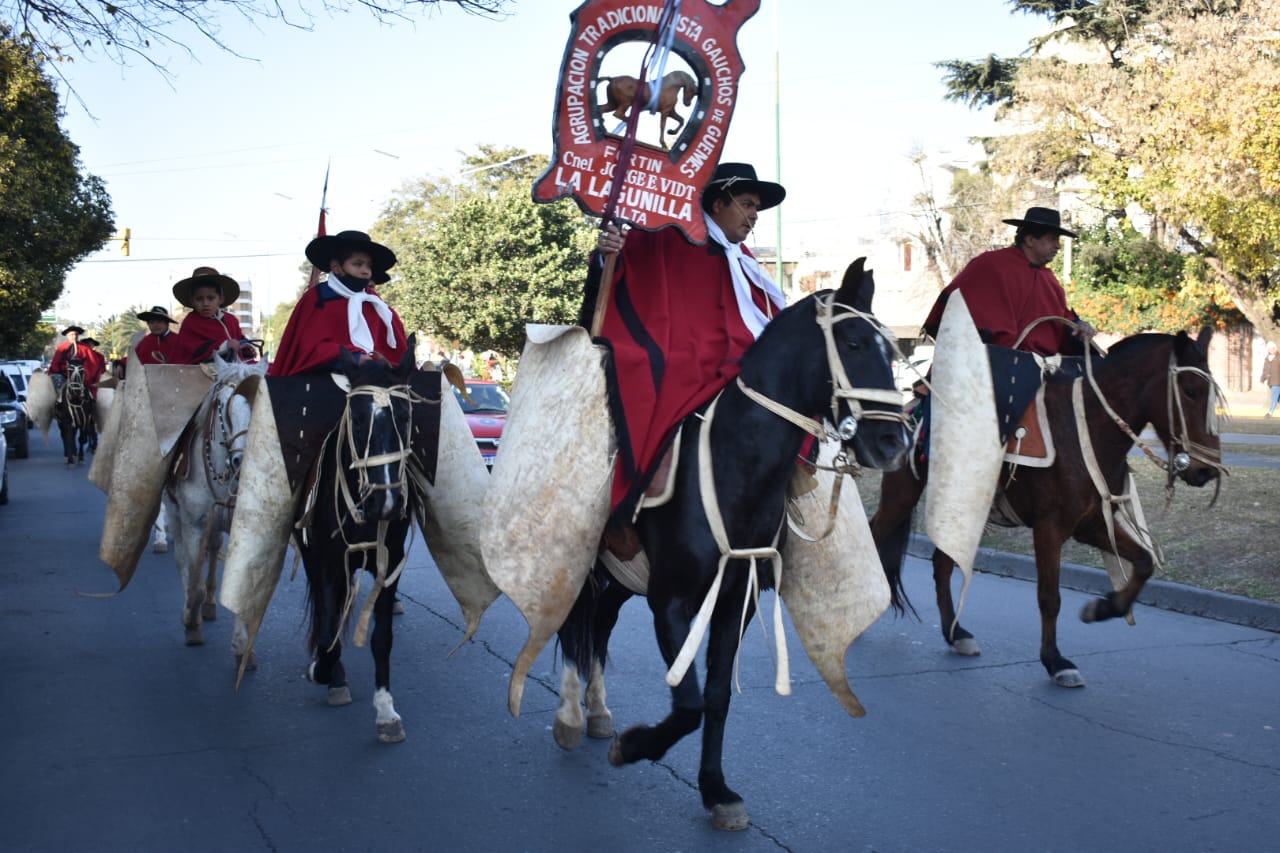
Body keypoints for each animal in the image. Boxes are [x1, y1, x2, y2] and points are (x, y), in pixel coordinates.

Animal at [162, 350, 267, 666]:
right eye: (222, 403)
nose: (243, 461)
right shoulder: (194, 524)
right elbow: (192, 578)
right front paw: (191, 623)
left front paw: (242, 646)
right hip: (176, 514)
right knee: (183, 560)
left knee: (211, 550)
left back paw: (209, 604)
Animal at [558, 257, 911, 824]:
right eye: (855, 343)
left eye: (889, 348)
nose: (893, 442)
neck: (733, 468)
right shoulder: (671, 601)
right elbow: (689, 704)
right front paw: (635, 747)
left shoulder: (734, 601)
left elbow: (717, 696)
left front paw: (715, 788)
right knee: (574, 621)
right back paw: (570, 712)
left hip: (625, 576)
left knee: (602, 623)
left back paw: (597, 709)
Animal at [870, 327, 1218, 686]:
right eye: (1191, 391)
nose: (1206, 470)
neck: (1087, 428)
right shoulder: (1049, 528)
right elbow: (1050, 597)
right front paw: (1055, 660)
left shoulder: (1091, 525)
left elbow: (1144, 562)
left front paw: (1104, 608)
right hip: (901, 495)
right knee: (876, 537)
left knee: (942, 564)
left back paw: (956, 634)